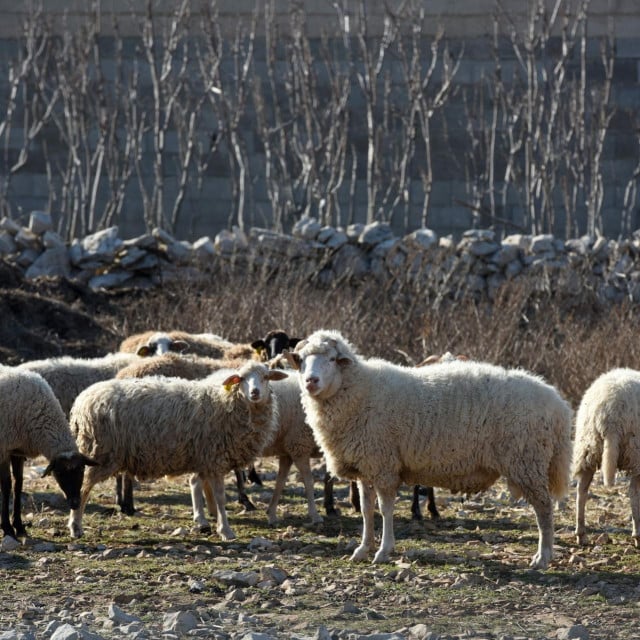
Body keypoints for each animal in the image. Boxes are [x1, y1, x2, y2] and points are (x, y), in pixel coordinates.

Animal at [0, 364, 97, 540]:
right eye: (59, 473)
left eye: (81, 469)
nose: (75, 503)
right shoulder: (4, 449)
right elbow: (6, 486)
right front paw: (7, 528)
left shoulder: (17, 451)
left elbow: (18, 484)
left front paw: (19, 526)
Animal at [67, 360, 284, 540]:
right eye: (241, 378)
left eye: (266, 377)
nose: (255, 392)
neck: (227, 403)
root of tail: (81, 402)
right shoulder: (214, 459)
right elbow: (220, 497)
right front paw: (226, 531)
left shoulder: (205, 458)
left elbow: (204, 489)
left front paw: (209, 522)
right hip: (100, 453)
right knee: (83, 488)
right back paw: (76, 527)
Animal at [288, 330, 572, 568]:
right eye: (301, 360)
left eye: (332, 359)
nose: (311, 381)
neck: (359, 390)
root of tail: (558, 402)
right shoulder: (366, 466)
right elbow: (367, 511)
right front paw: (362, 549)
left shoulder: (383, 465)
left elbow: (386, 509)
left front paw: (383, 551)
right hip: (528, 461)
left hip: (527, 461)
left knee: (544, 509)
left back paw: (543, 556)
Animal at [572, 368, 640, 548]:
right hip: (635, 450)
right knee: (633, 492)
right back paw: (637, 535)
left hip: (588, 446)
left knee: (581, 489)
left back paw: (581, 534)